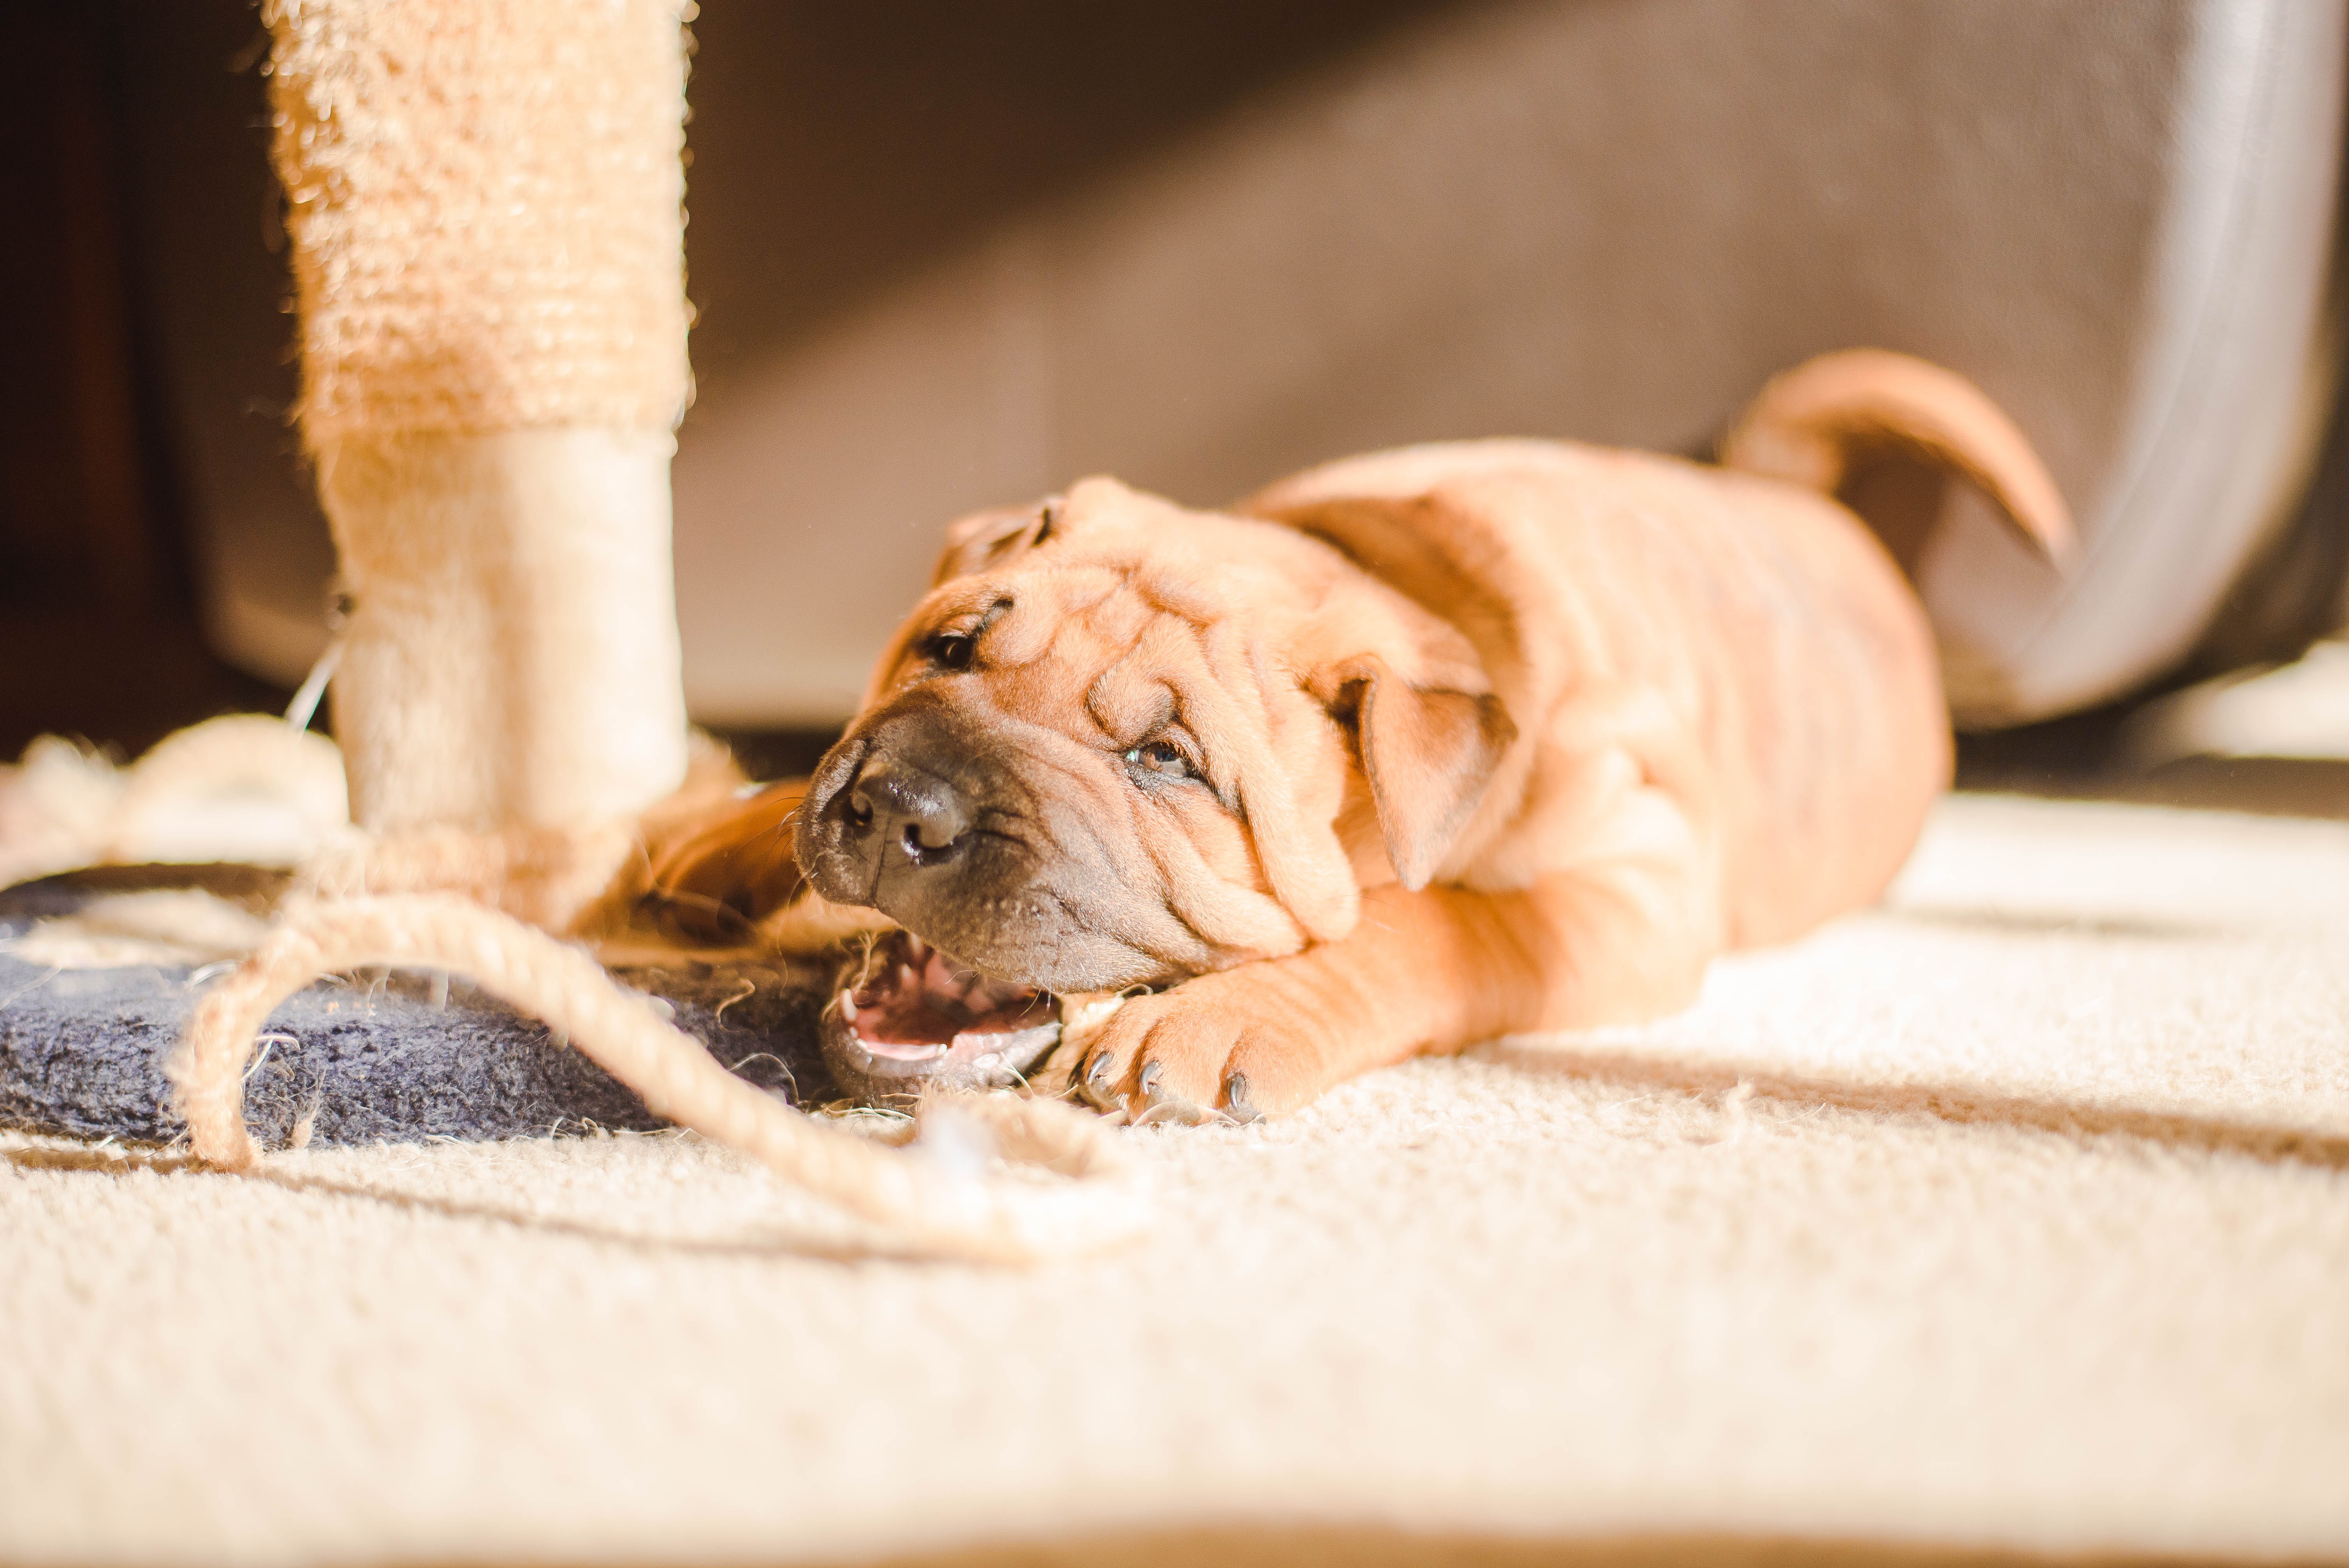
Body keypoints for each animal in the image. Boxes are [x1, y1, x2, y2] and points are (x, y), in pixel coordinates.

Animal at [686, 349, 2067, 1122]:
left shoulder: (1633, 880)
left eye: (1164, 763)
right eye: (949, 650)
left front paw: (1216, 1024)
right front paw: (715, 835)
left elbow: (1436, 923)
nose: (899, 810)